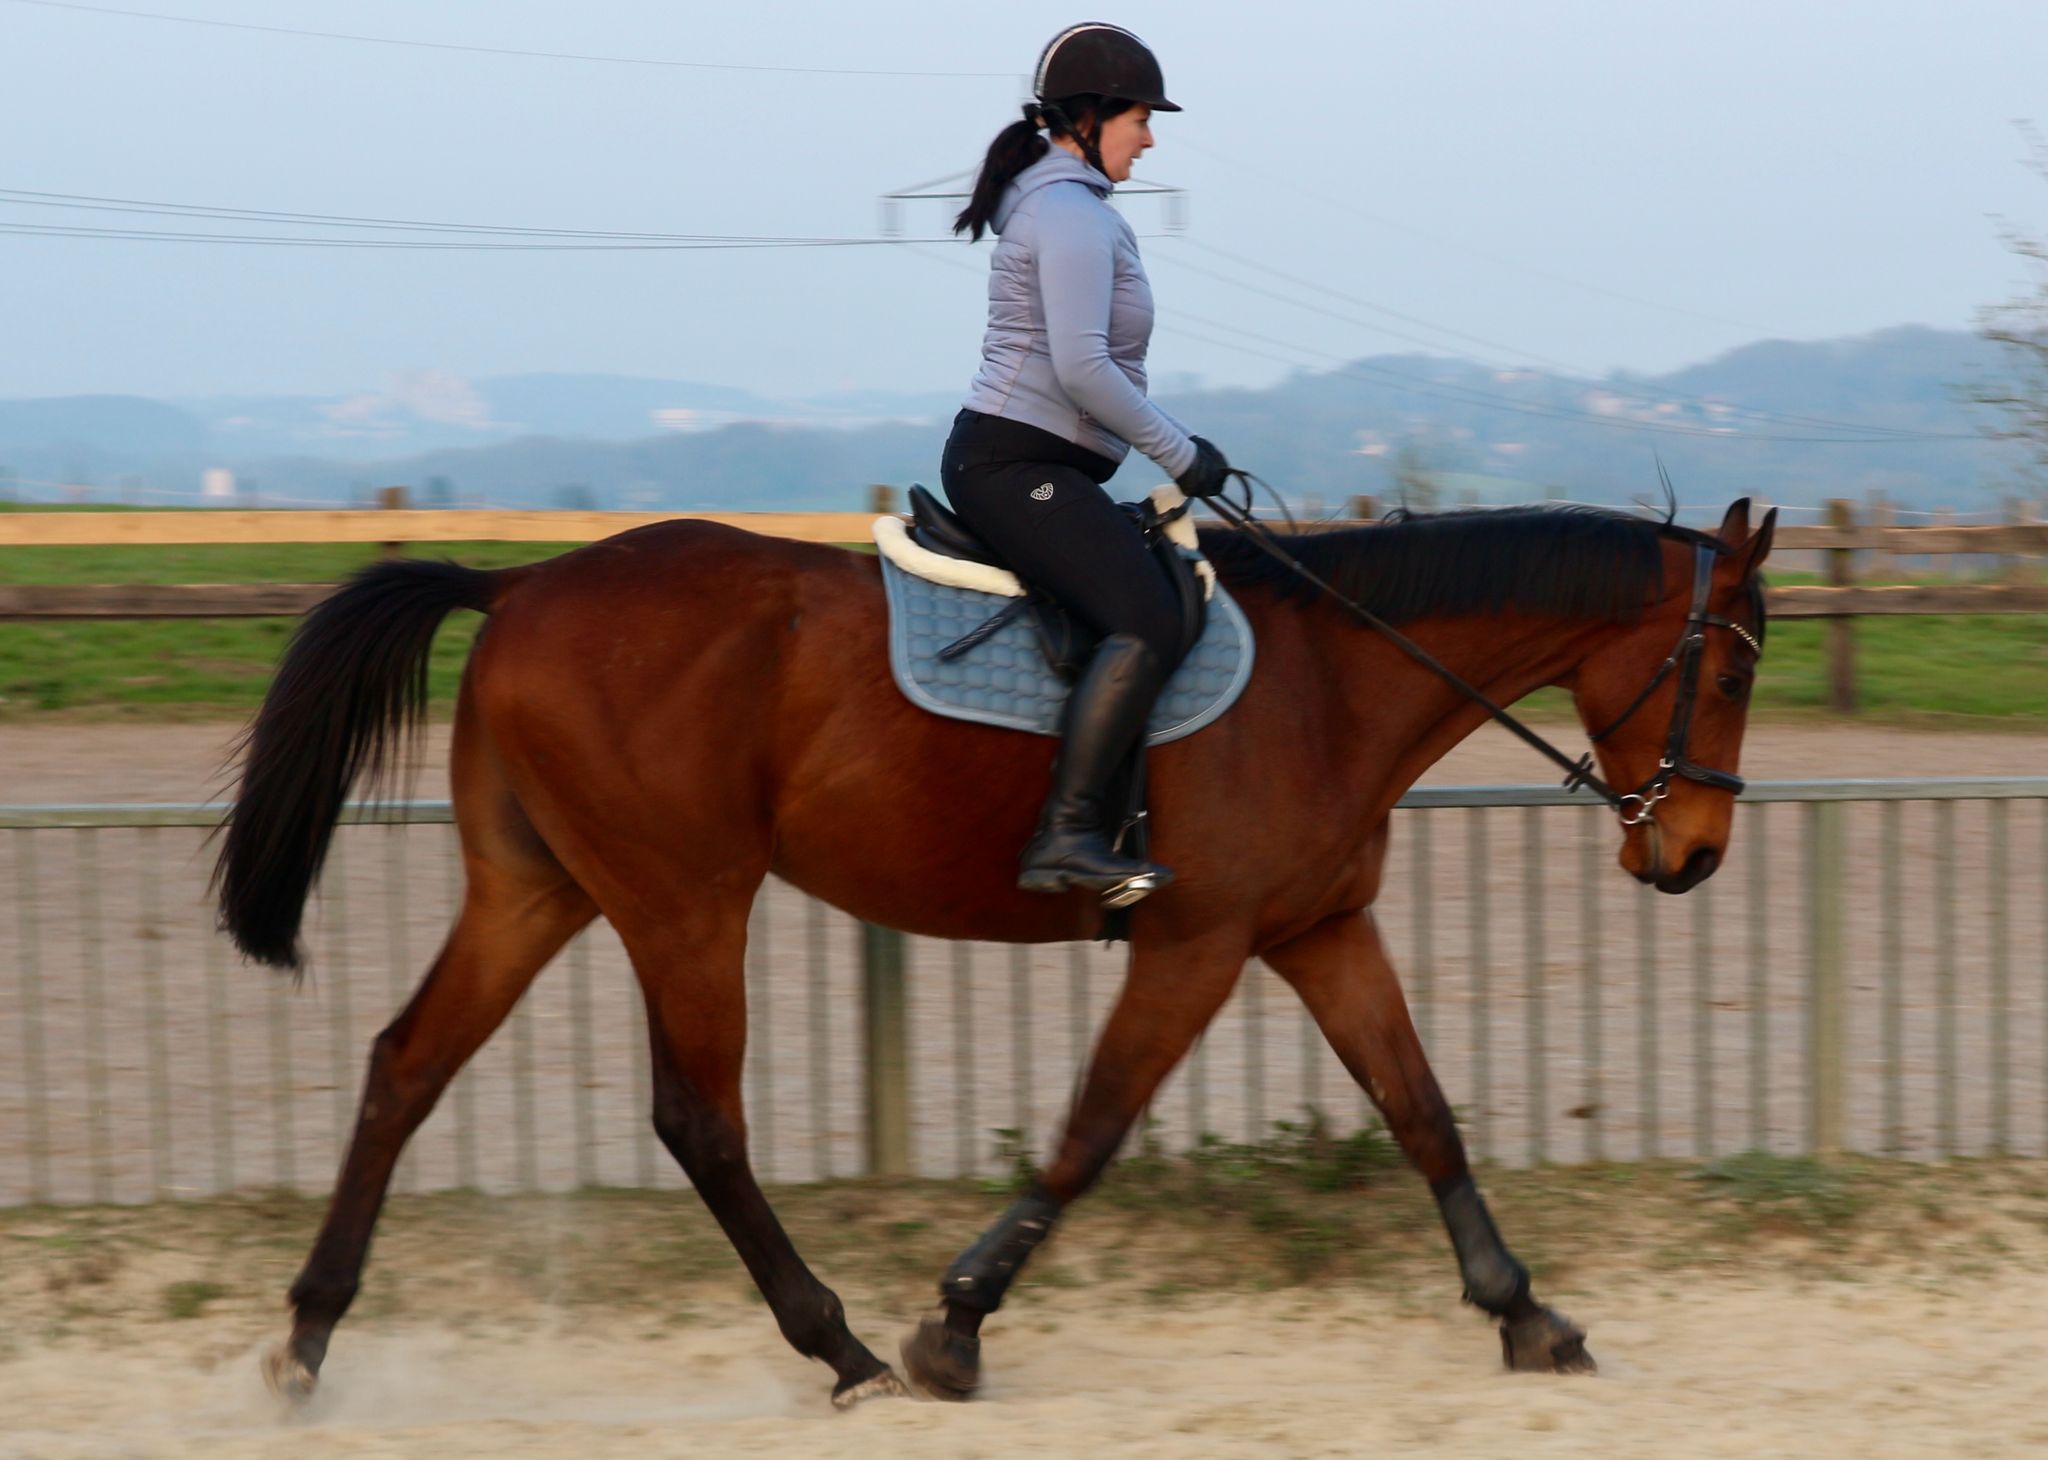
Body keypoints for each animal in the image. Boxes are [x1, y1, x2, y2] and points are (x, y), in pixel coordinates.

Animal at [214, 495, 1774, 1408]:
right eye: (1729, 663)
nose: (1695, 854)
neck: (1333, 681)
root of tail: (522, 585)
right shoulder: (1196, 945)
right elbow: (1089, 1132)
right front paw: (953, 1326)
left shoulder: (1319, 930)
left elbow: (1424, 1114)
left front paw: (1527, 1317)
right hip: (683, 898)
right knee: (696, 1118)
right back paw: (840, 1348)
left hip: (537, 892)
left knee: (405, 1066)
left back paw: (308, 1337)